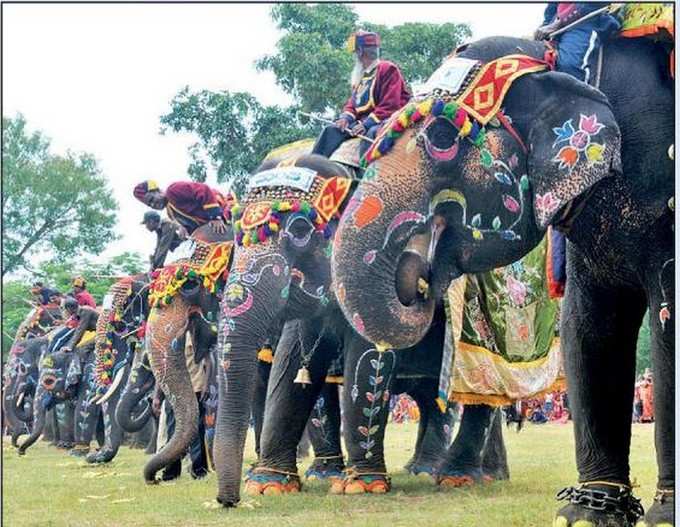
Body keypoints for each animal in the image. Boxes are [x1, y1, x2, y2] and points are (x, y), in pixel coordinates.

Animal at [330, 36, 676, 527]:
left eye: (442, 138)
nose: (420, 278)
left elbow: (667, 327)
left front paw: (664, 514)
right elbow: (588, 329)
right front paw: (584, 514)